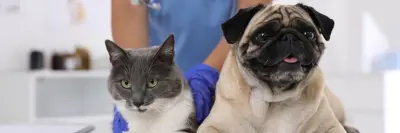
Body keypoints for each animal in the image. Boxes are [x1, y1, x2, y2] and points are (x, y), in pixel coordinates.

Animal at [197, 3, 360, 133]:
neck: (276, 98)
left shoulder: (329, 126)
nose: (289, 37)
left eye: (309, 34)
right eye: (262, 35)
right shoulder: (213, 126)